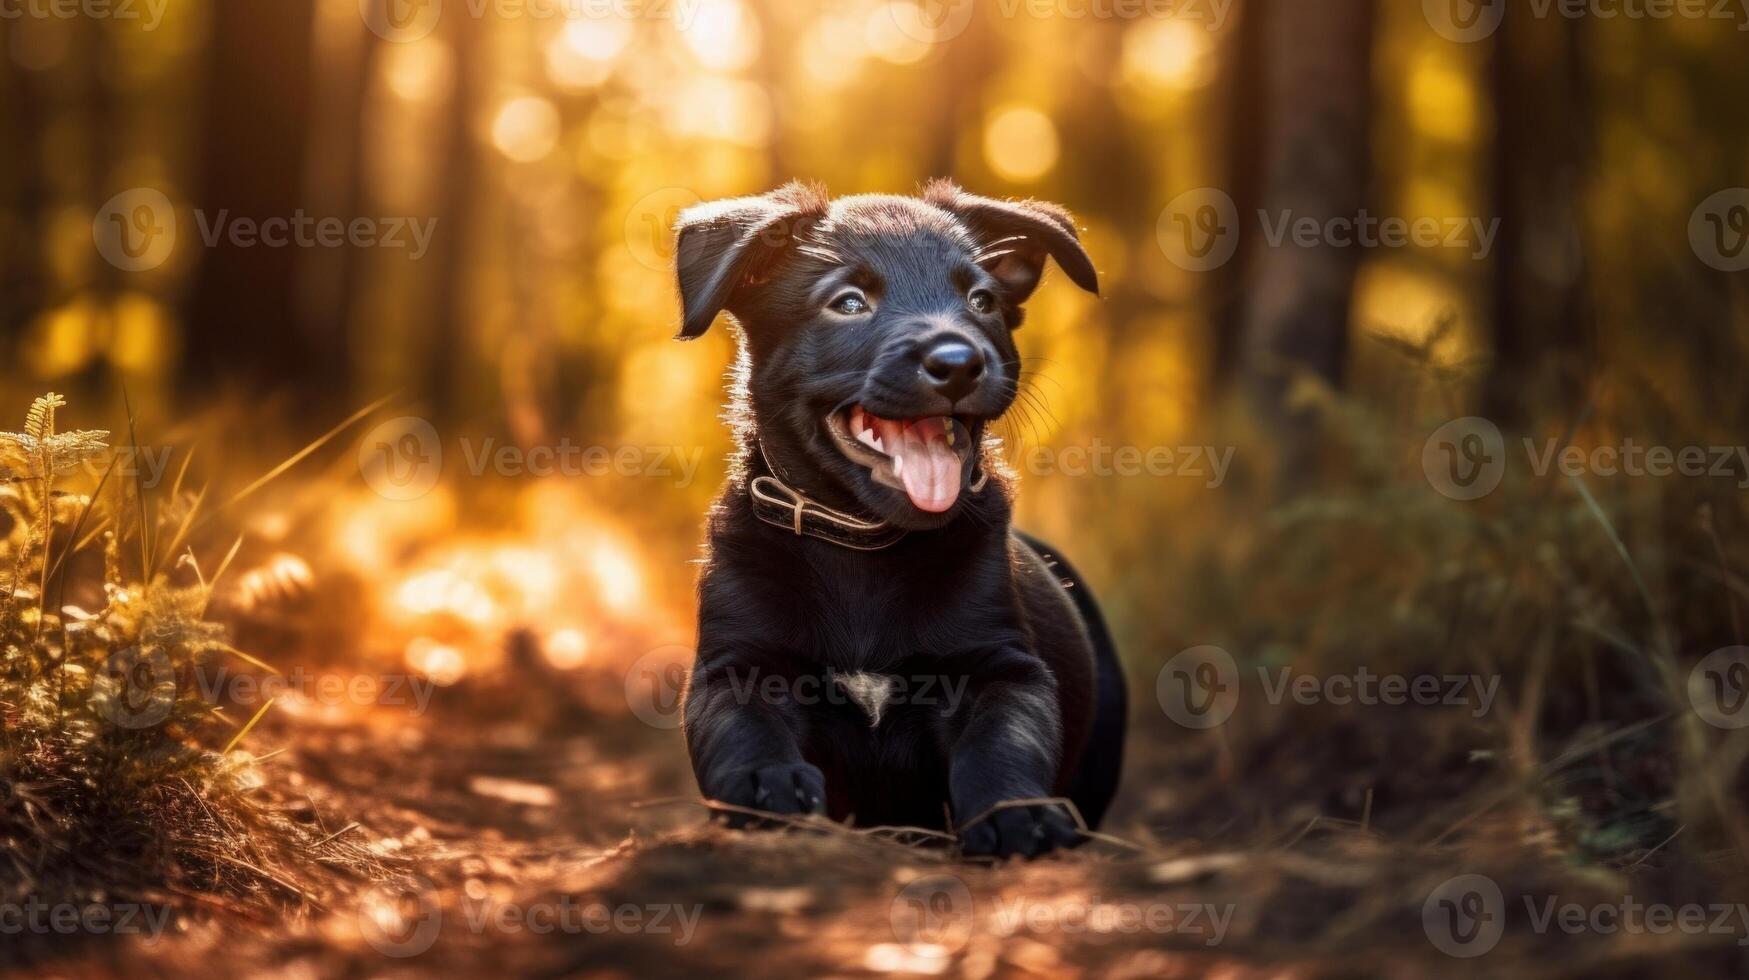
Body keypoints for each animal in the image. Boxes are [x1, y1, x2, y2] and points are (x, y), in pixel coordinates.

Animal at [668, 180, 1119, 854]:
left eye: (982, 300)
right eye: (849, 303)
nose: (958, 363)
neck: (863, 547)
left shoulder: (1001, 664)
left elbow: (1004, 741)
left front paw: (1018, 812)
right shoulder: (737, 664)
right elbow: (743, 729)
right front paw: (764, 784)